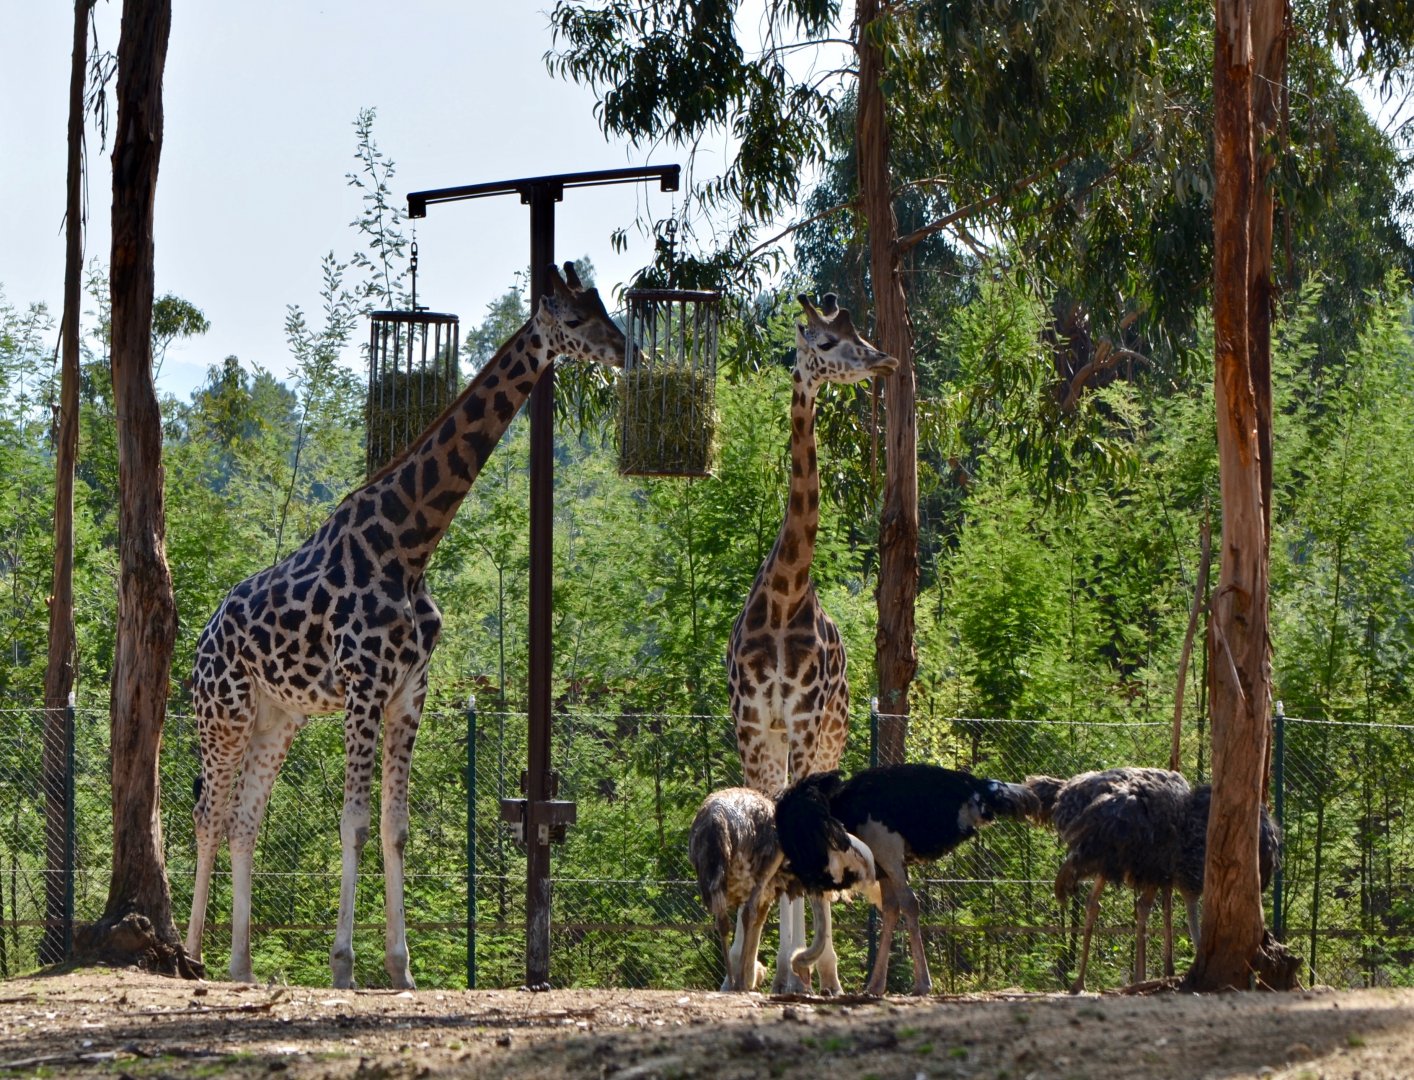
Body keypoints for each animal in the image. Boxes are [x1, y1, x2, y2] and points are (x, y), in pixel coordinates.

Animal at [184, 263, 626, 990]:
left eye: (603, 306)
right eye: (573, 317)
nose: (623, 348)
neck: (410, 546)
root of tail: (199, 643)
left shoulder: (408, 694)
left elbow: (395, 827)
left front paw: (401, 970)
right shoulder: (364, 687)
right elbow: (355, 824)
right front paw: (343, 967)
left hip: (278, 718)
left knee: (245, 819)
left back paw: (239, 966)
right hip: (224, 714)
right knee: (208, 814)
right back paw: (189, 957)